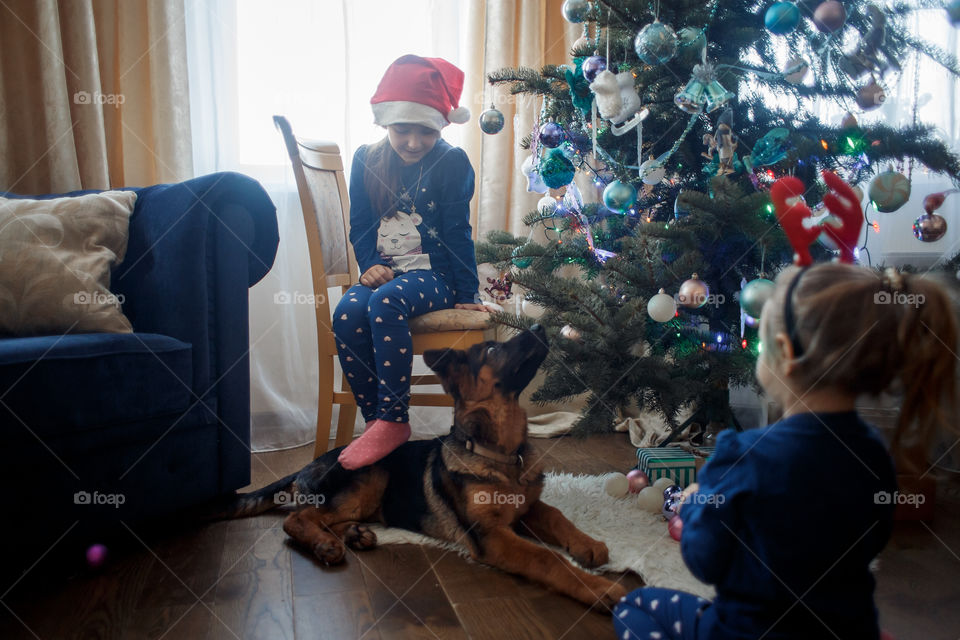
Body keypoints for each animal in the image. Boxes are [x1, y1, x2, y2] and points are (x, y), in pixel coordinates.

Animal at [225, 324, 632, 608]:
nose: (542, 327)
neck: (499, 454)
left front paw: (589, 544)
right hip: (371, 474)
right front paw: (601, 588)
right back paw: (326, 544)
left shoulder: (527, 509)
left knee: (325, 518)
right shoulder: (492, 537)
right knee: (298, 519)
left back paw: (354, 535)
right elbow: (547, 558)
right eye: (492, 348)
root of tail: (309, 465)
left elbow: (557, 516)